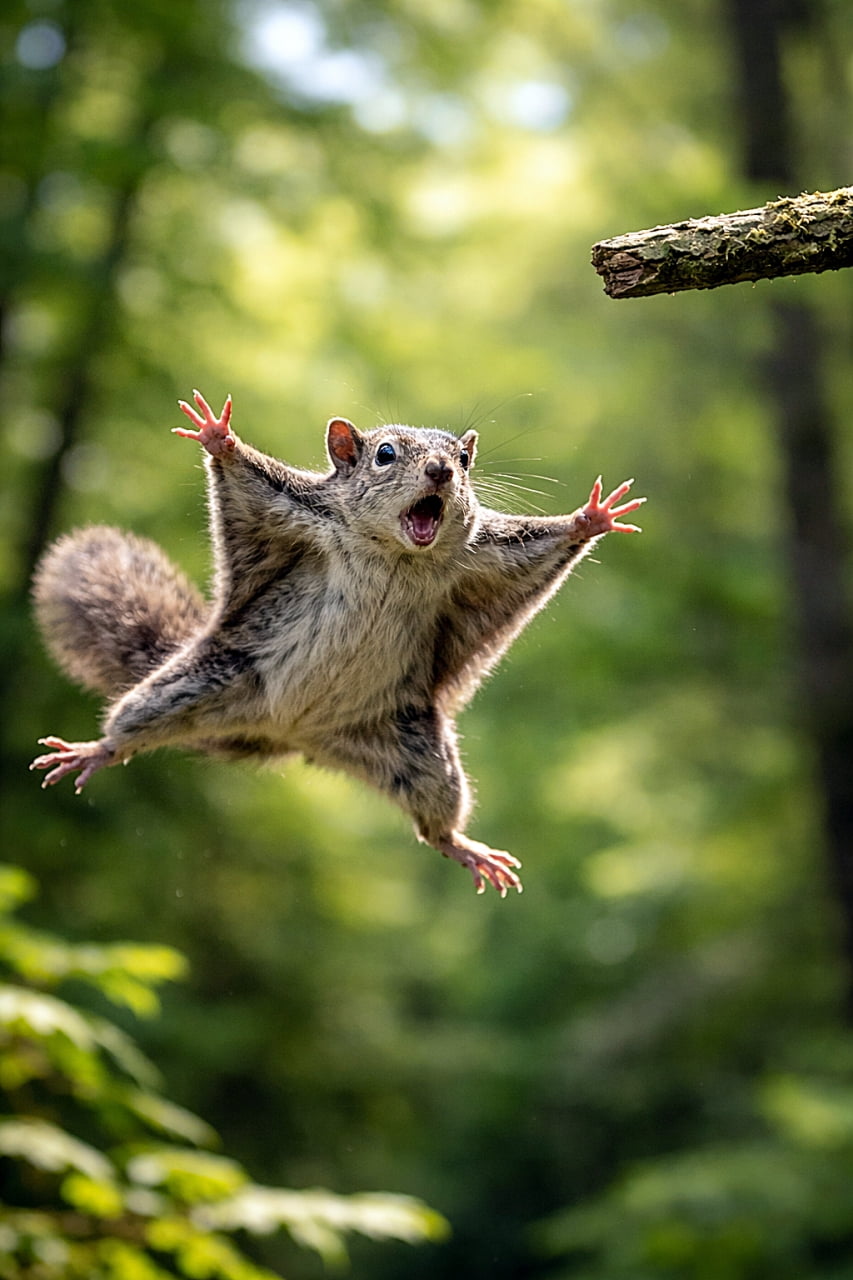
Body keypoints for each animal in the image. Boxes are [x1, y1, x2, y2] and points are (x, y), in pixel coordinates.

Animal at [30, 391, 645, 896]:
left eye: (465, 460)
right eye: (385, 454)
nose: (441, 470)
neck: (398, 551)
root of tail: (294, 736)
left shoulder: (494, 555)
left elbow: (542, 546)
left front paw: (589, 519)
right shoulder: (288, 506)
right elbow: (247, 478)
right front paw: (220, 437)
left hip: (418, 753)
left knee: (434, 821)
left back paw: (461, 845)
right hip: (199, 683)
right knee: (135, 723)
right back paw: (96, 749)